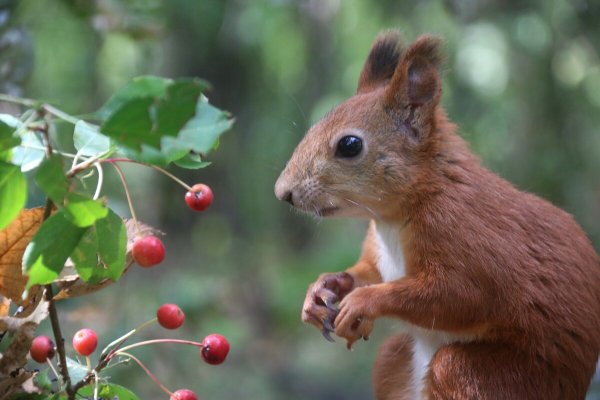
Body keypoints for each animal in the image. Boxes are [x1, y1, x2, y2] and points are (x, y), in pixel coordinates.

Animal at [276, 31, 600, 400]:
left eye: (350, 145)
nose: (282, 192)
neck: (393, 219)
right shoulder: (378, 253)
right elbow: (369, 271)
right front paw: (323, 288)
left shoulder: (467, 236)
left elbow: (460, 295)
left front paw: (363, 302)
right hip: (395, 359)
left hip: (501, 378)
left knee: (452, 365)